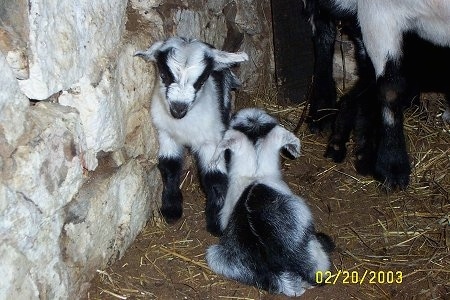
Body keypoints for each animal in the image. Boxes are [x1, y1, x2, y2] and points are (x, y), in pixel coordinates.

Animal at [136, 37, 248, 234]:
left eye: (201, 81)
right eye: (164, 75)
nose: (178, 108)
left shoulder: (211, 141)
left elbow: (214, 177)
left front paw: (217, 222)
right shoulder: (166, 135)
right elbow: (169, 166)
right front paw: (171, 209)